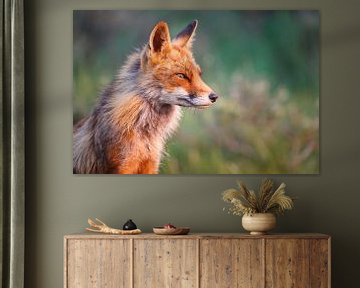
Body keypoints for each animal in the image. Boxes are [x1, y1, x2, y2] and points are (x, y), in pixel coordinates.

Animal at [73, 20, 217, 174]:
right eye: (181, 76)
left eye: (199, 74)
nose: (214, 96)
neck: (145, 134)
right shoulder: (121, 167)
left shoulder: (150, 164)